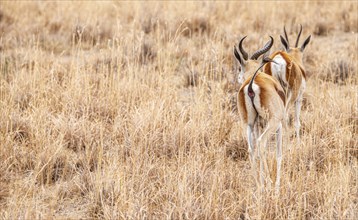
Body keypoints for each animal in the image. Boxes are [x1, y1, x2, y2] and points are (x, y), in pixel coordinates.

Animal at [235, 36, 286, 192]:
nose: (238, 77)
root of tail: (251, 85)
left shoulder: (258, 124)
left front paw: (262, 183)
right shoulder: (279, 125)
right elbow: (279, 154)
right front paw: (276, 187)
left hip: (249, 124)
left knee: (251, 149)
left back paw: (258, 185)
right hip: (272, 123)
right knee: (261, 143)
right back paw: (269, 183)